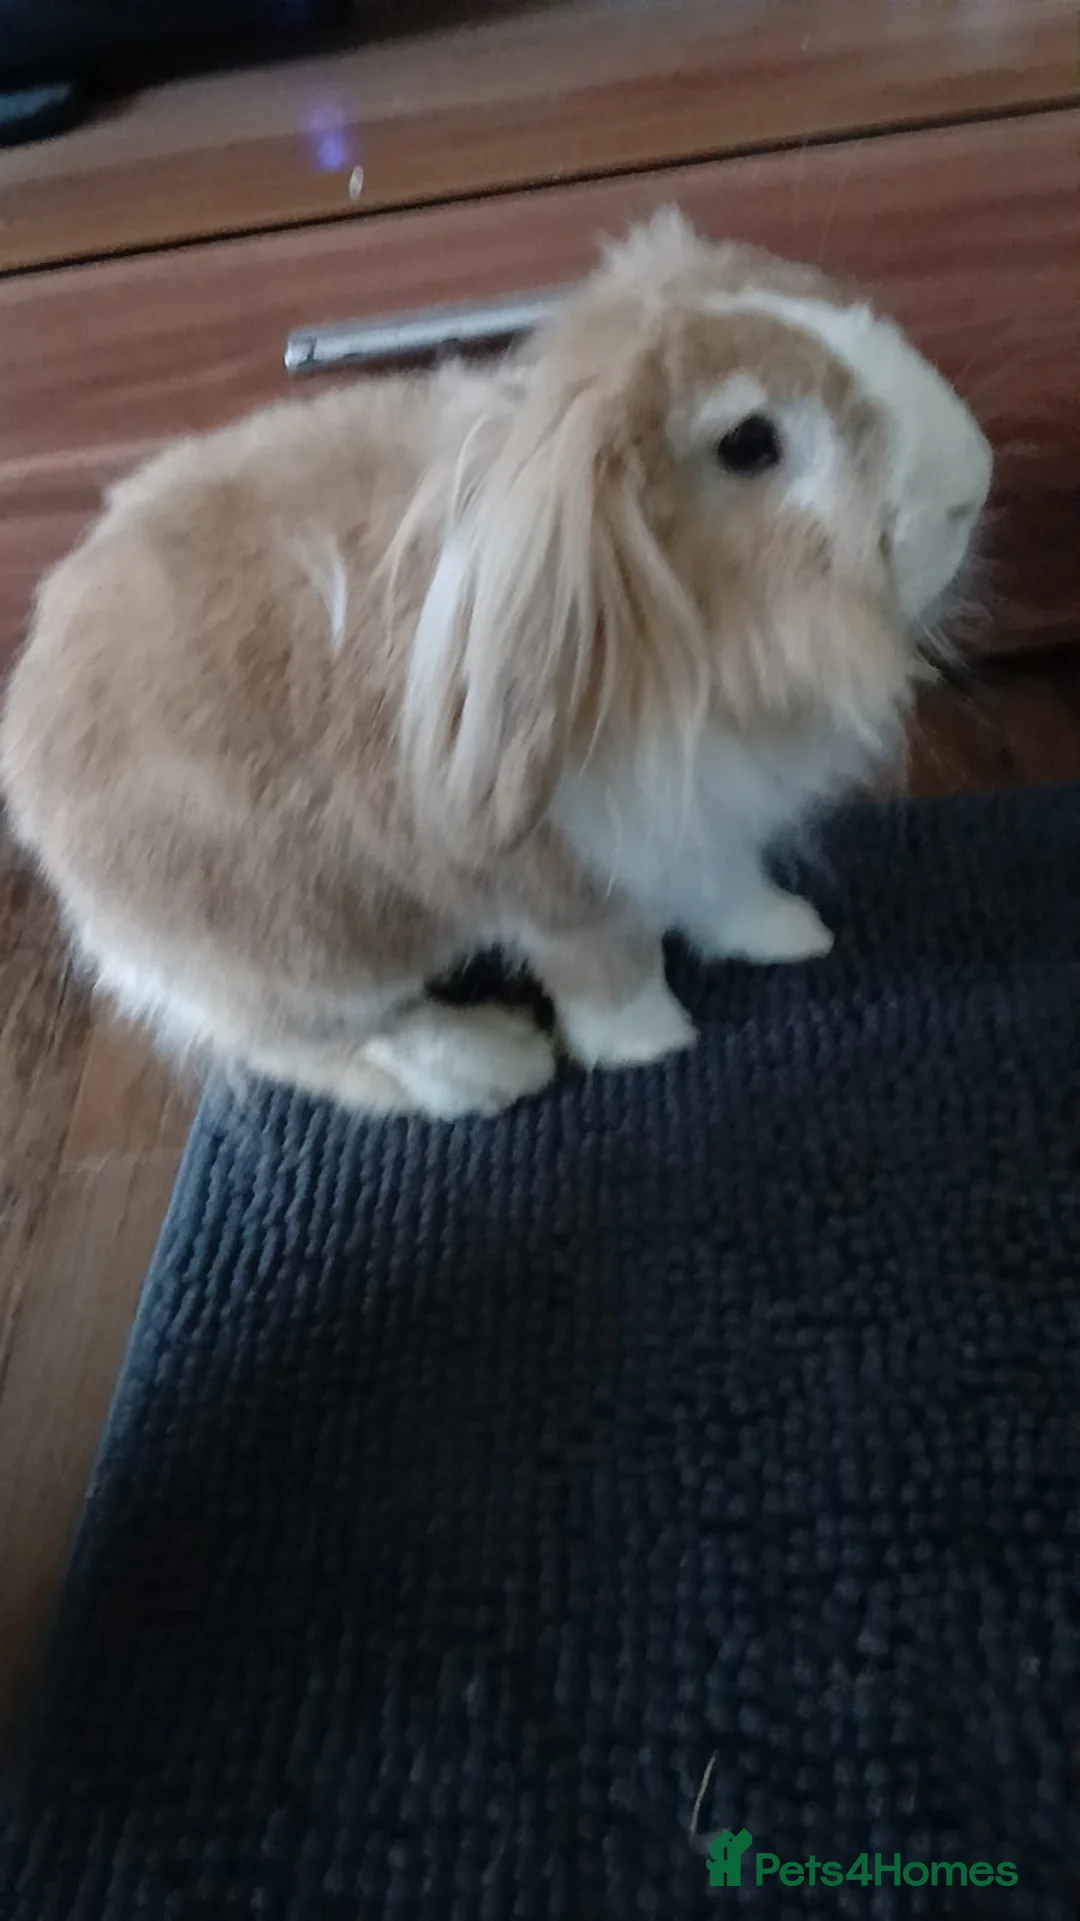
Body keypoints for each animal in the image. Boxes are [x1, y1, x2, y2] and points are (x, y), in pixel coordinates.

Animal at [0, 211, 992, 1119]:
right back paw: (485, 1064)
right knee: (305, 1044)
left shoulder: (701, 827)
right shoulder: (563, 882)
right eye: (750, 442)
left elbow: (726, 890)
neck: (659, 618)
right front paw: (651, 1046)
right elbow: (608, 969)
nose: (971, 484)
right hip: (304, 942)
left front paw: (791, 934)